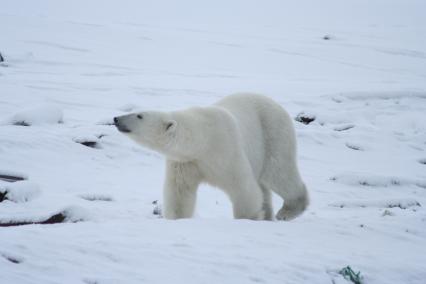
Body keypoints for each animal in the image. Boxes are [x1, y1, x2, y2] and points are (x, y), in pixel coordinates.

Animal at [113, 94, 308, 221]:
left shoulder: (226, 149)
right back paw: (268, 215)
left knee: (278, 172)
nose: (116, 119)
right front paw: (176, 218)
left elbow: (243, 188)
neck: (203, 139)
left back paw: (287, 211)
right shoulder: (185, 161)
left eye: (139, 115)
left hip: (273, 133)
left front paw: (249, 217)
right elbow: (179, 192)